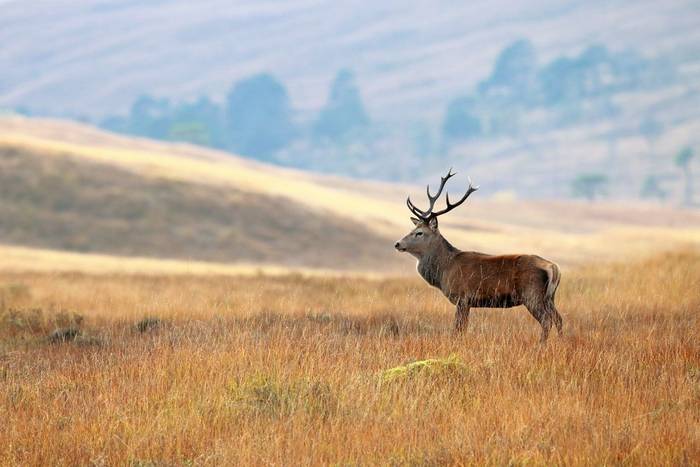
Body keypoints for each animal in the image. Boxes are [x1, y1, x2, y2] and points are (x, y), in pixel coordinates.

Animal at [394, 169, 563, 342]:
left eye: (419, 233)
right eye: (412, 229)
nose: (398, 244)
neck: (444, 270)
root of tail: (553, 267)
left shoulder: (463, 297)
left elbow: (458, 329)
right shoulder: (467, 302)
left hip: (531, 293)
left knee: (547, 320)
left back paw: (541, 345)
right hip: (549, 297)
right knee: (559, 319)